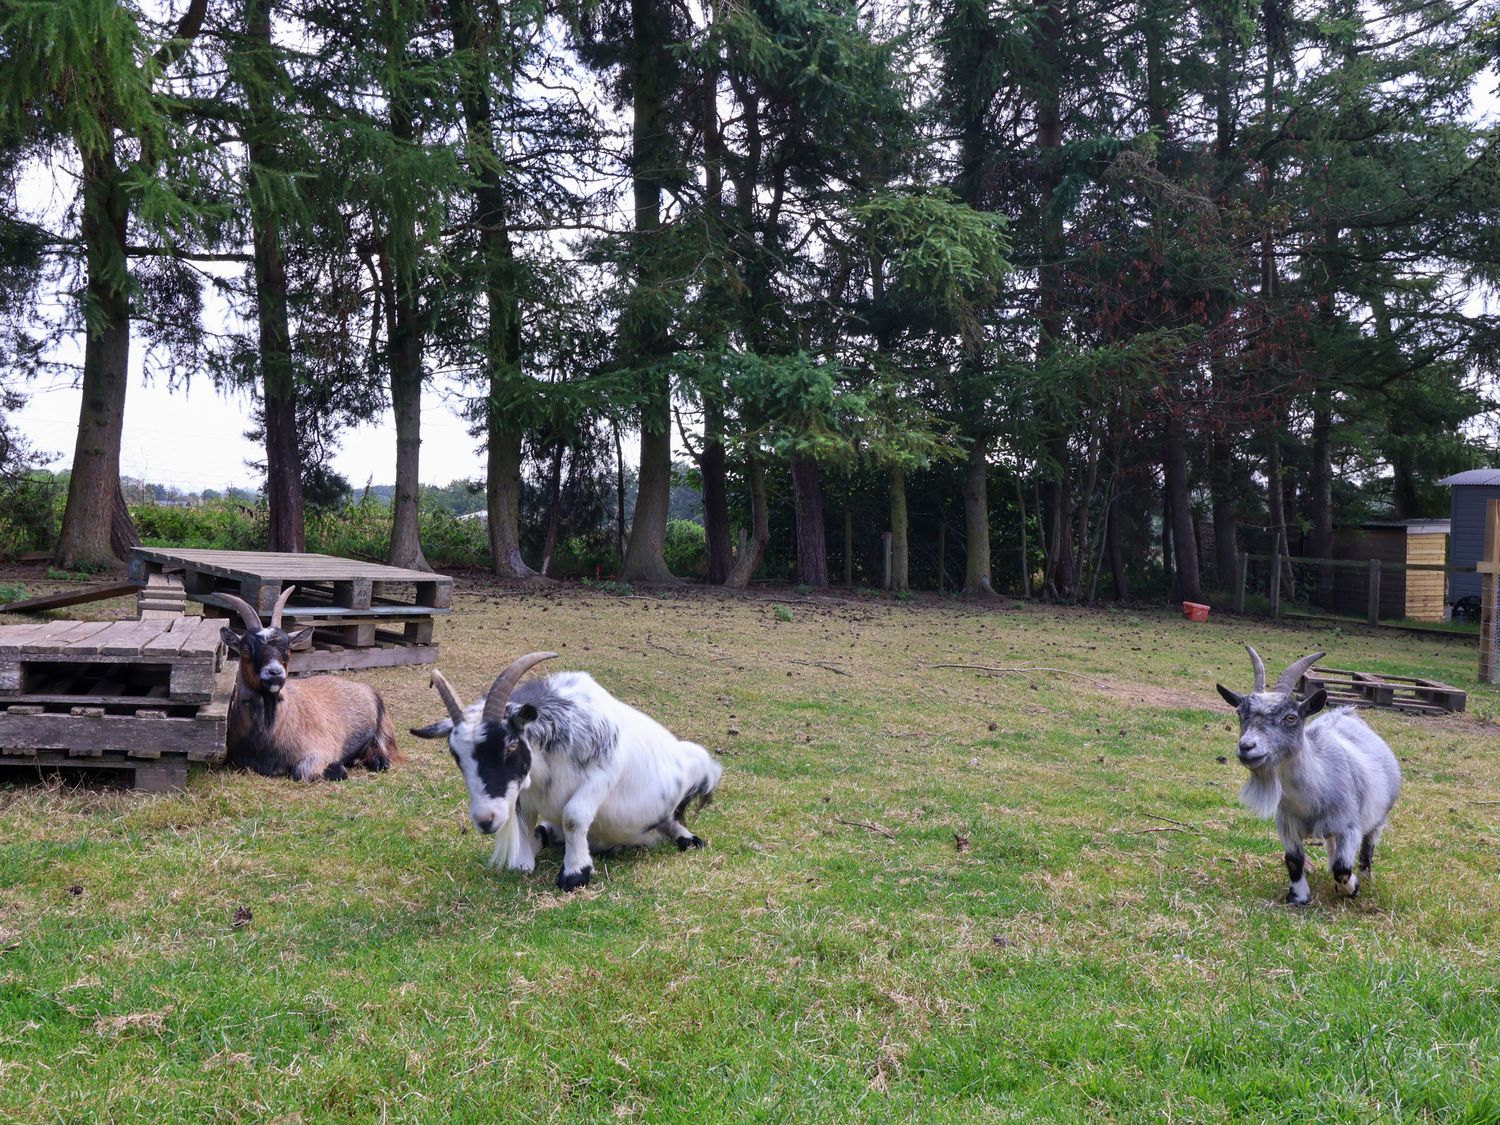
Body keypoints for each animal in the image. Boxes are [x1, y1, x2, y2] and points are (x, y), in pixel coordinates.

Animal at [216, 591, 399, 786]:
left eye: (288, 649)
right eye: (246, 649)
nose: (275, 672)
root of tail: (366, 688)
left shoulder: (320, 751)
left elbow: (304, 772)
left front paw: (340, 767)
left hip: (381, 731)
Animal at [405, 657, 720, 894]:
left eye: (511, 745)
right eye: (456, 754)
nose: (486, 820)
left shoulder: (601, 775)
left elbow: (574, 816)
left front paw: (575, 873)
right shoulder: (522, 795)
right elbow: (525, 823)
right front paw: (522, 862)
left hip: (697, 768)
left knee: (673, 818)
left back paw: (688, 839)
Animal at [1212, 648, 1398, 906]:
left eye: (1291, 717)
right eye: (1240, 712)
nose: (1247, 747)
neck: (1313, 797)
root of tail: (1346, 713)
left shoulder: (1349, 826)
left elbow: (1343, 868)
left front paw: (1351, 888)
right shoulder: (1287, 825)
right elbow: (1293, 859)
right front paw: (1298, 896)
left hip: (1378, 817)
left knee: (1368, 845)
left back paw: (1366, 876)